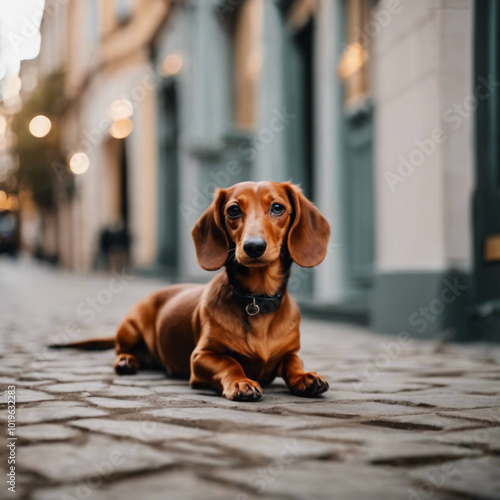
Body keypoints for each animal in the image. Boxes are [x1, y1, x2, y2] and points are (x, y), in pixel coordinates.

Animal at [58, 182, 330, 400]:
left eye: (277, 207)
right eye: (233, 210)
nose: (253, 247)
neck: (256, 300)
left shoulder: (290, 352)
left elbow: (293, 362)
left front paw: (305, 376)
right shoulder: (201, 356)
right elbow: (231, 363)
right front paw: (241, 381)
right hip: (130, 327)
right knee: (121, 350)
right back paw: (126, 360)